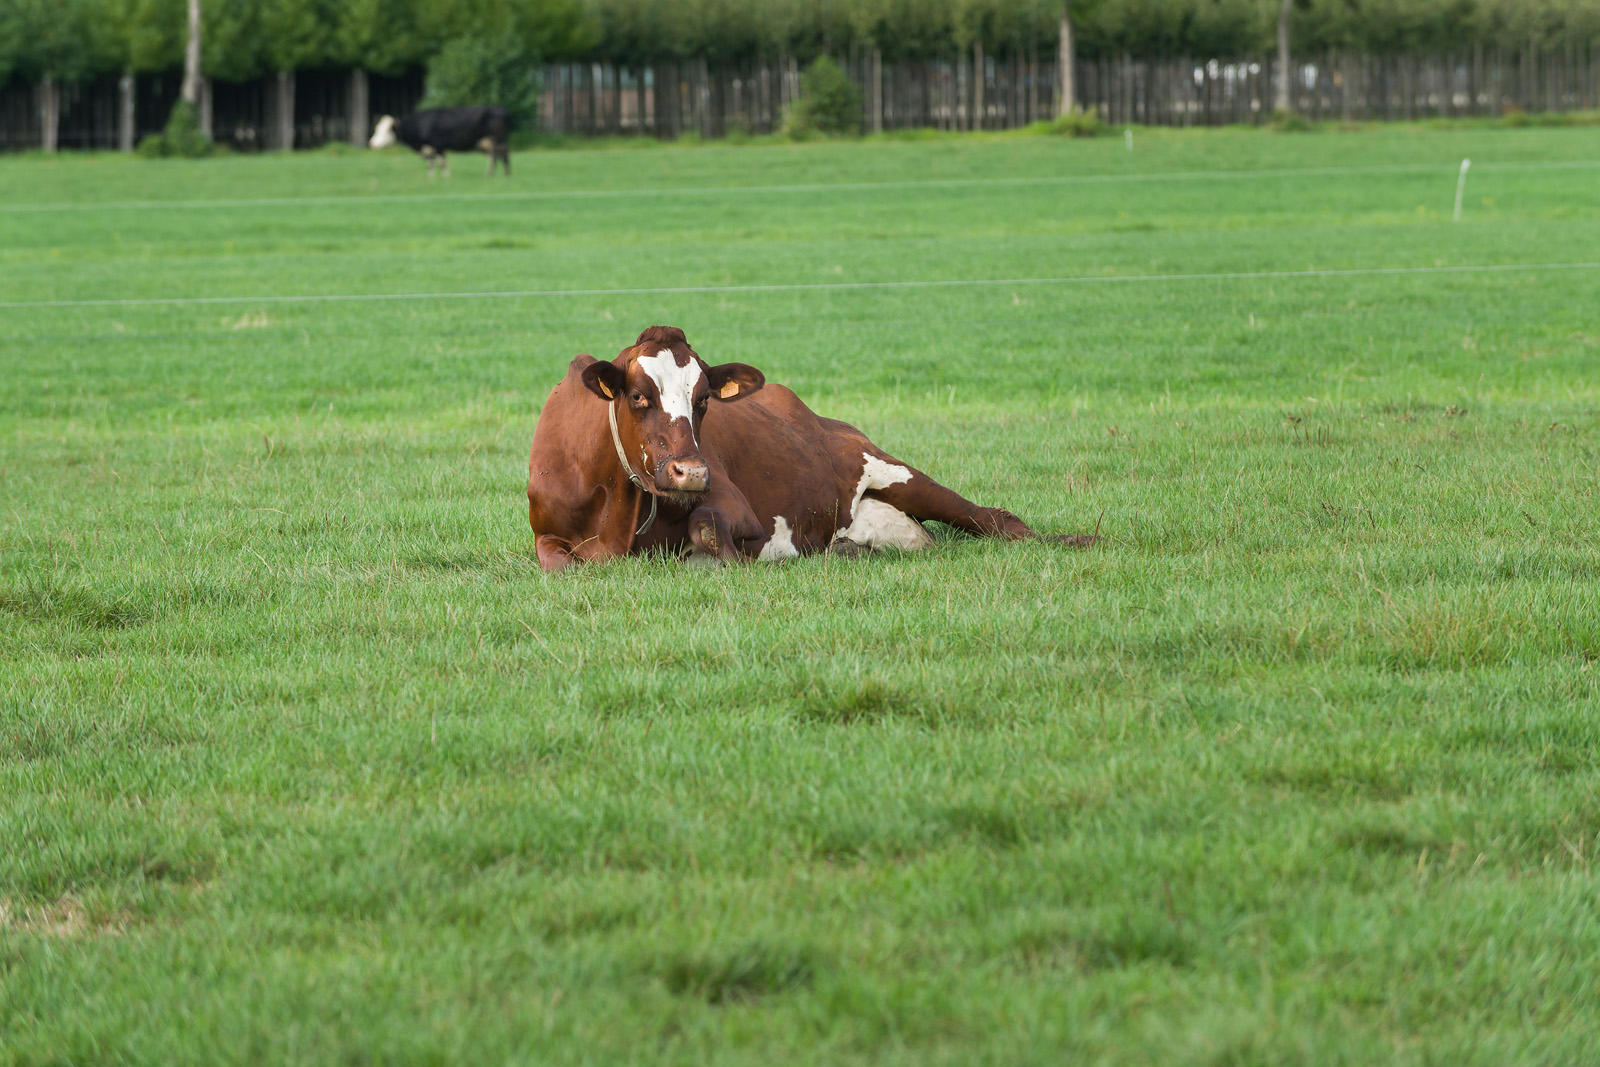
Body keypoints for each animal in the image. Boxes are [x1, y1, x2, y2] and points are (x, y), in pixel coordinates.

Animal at [368, 107, 511, 177]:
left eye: (387, 131)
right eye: (377, 128)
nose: (372, 143)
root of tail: (502, 110)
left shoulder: (439, 145)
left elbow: (441, 162)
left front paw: (446, 177)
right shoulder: (428, 149)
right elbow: (430, 163)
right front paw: (431, 178)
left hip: (497, 140)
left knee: (501, 155)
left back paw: (501, 174)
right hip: (487, 143)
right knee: (495, 157)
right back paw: (496, 174)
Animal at [526, 326, 1096, 572]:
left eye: (703, 400)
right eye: (638, 396)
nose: (691, 472)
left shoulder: (737, 508)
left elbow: (709, 532)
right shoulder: (547, 535)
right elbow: (559, 562)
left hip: (897, 472)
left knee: (998, 519)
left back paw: (1080, 539)